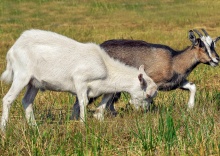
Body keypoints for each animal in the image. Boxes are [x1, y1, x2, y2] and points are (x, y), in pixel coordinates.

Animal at [0, 29, 158, 132]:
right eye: (148, 95)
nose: (145, 111)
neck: (106, 68)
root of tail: (13, 49)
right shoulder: (80, 80)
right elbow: (83, 102)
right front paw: (83, 123)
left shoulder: (105, 87)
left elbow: (104, 100)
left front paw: (97, 118)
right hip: (22, 75)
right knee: (8, 99)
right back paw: (4, 128)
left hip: (34, 83)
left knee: (27, 101)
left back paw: (34, 127)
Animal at [72, 29, 218, 119]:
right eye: (201, 45)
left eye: (213, 45)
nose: (217, 59)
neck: (174, 60)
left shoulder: (177, 82)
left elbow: (193, 87)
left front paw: (190, 108)